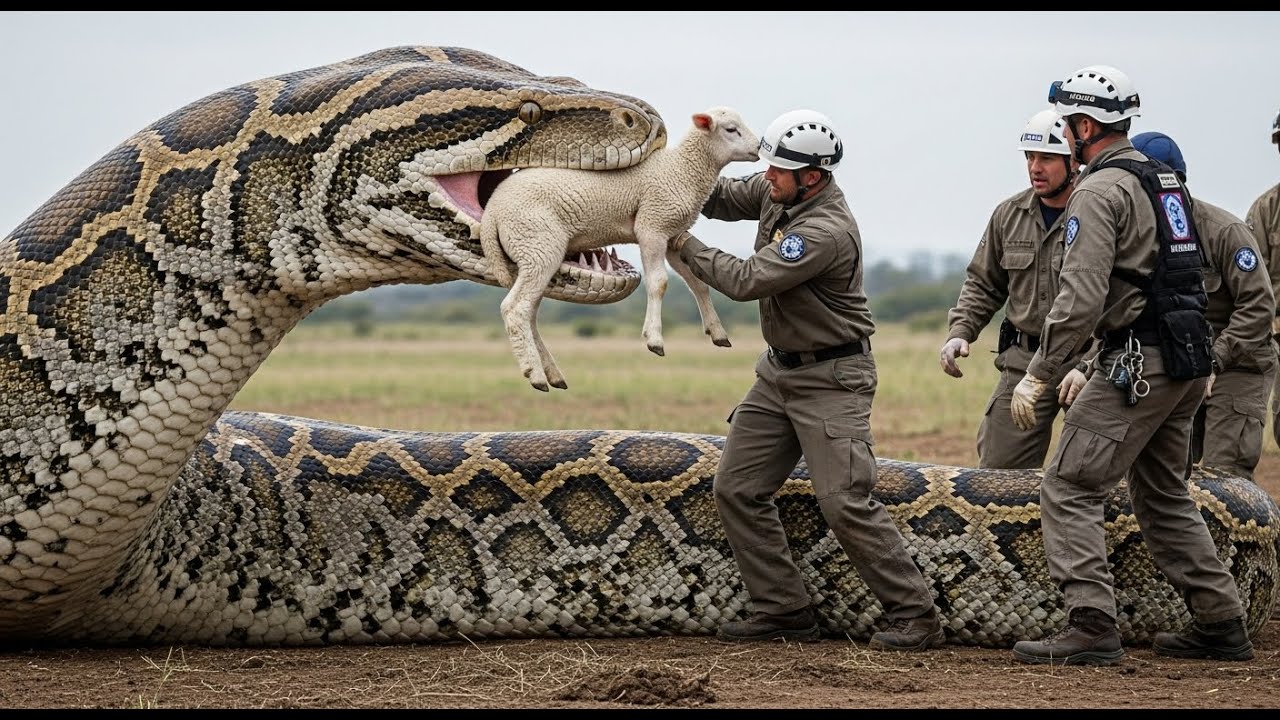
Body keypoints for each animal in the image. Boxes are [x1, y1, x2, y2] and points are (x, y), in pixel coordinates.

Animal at [479, 106, 760, 391]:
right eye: (731, 129)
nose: (759, 148)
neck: (680, 169)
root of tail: (492, 212)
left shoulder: (672, 235)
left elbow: (698, 283)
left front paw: (717, 332)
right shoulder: (652, 226)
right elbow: (659, 283)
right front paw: (654, 339)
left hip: (530, 255)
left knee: (529, 311)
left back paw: (552, 373)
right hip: (538, 246)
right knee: (515, 309)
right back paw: (535, 374)